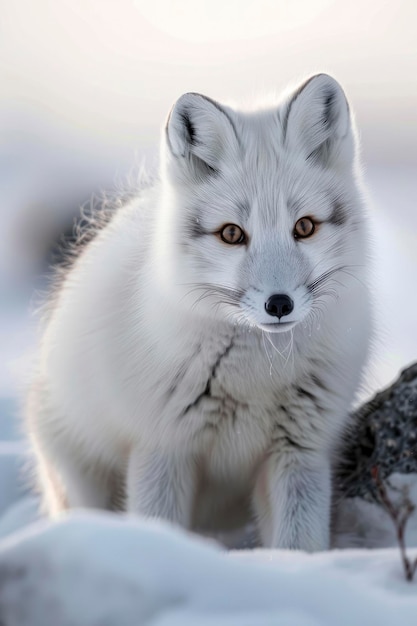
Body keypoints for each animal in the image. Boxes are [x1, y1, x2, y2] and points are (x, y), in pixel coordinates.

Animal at [26, 73, 370, 548]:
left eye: (304, 227)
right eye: (231, 234)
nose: (279, 304)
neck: (256, 373)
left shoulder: (300, 452)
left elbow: (300, 546)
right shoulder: (162, 449)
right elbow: (157, 529)